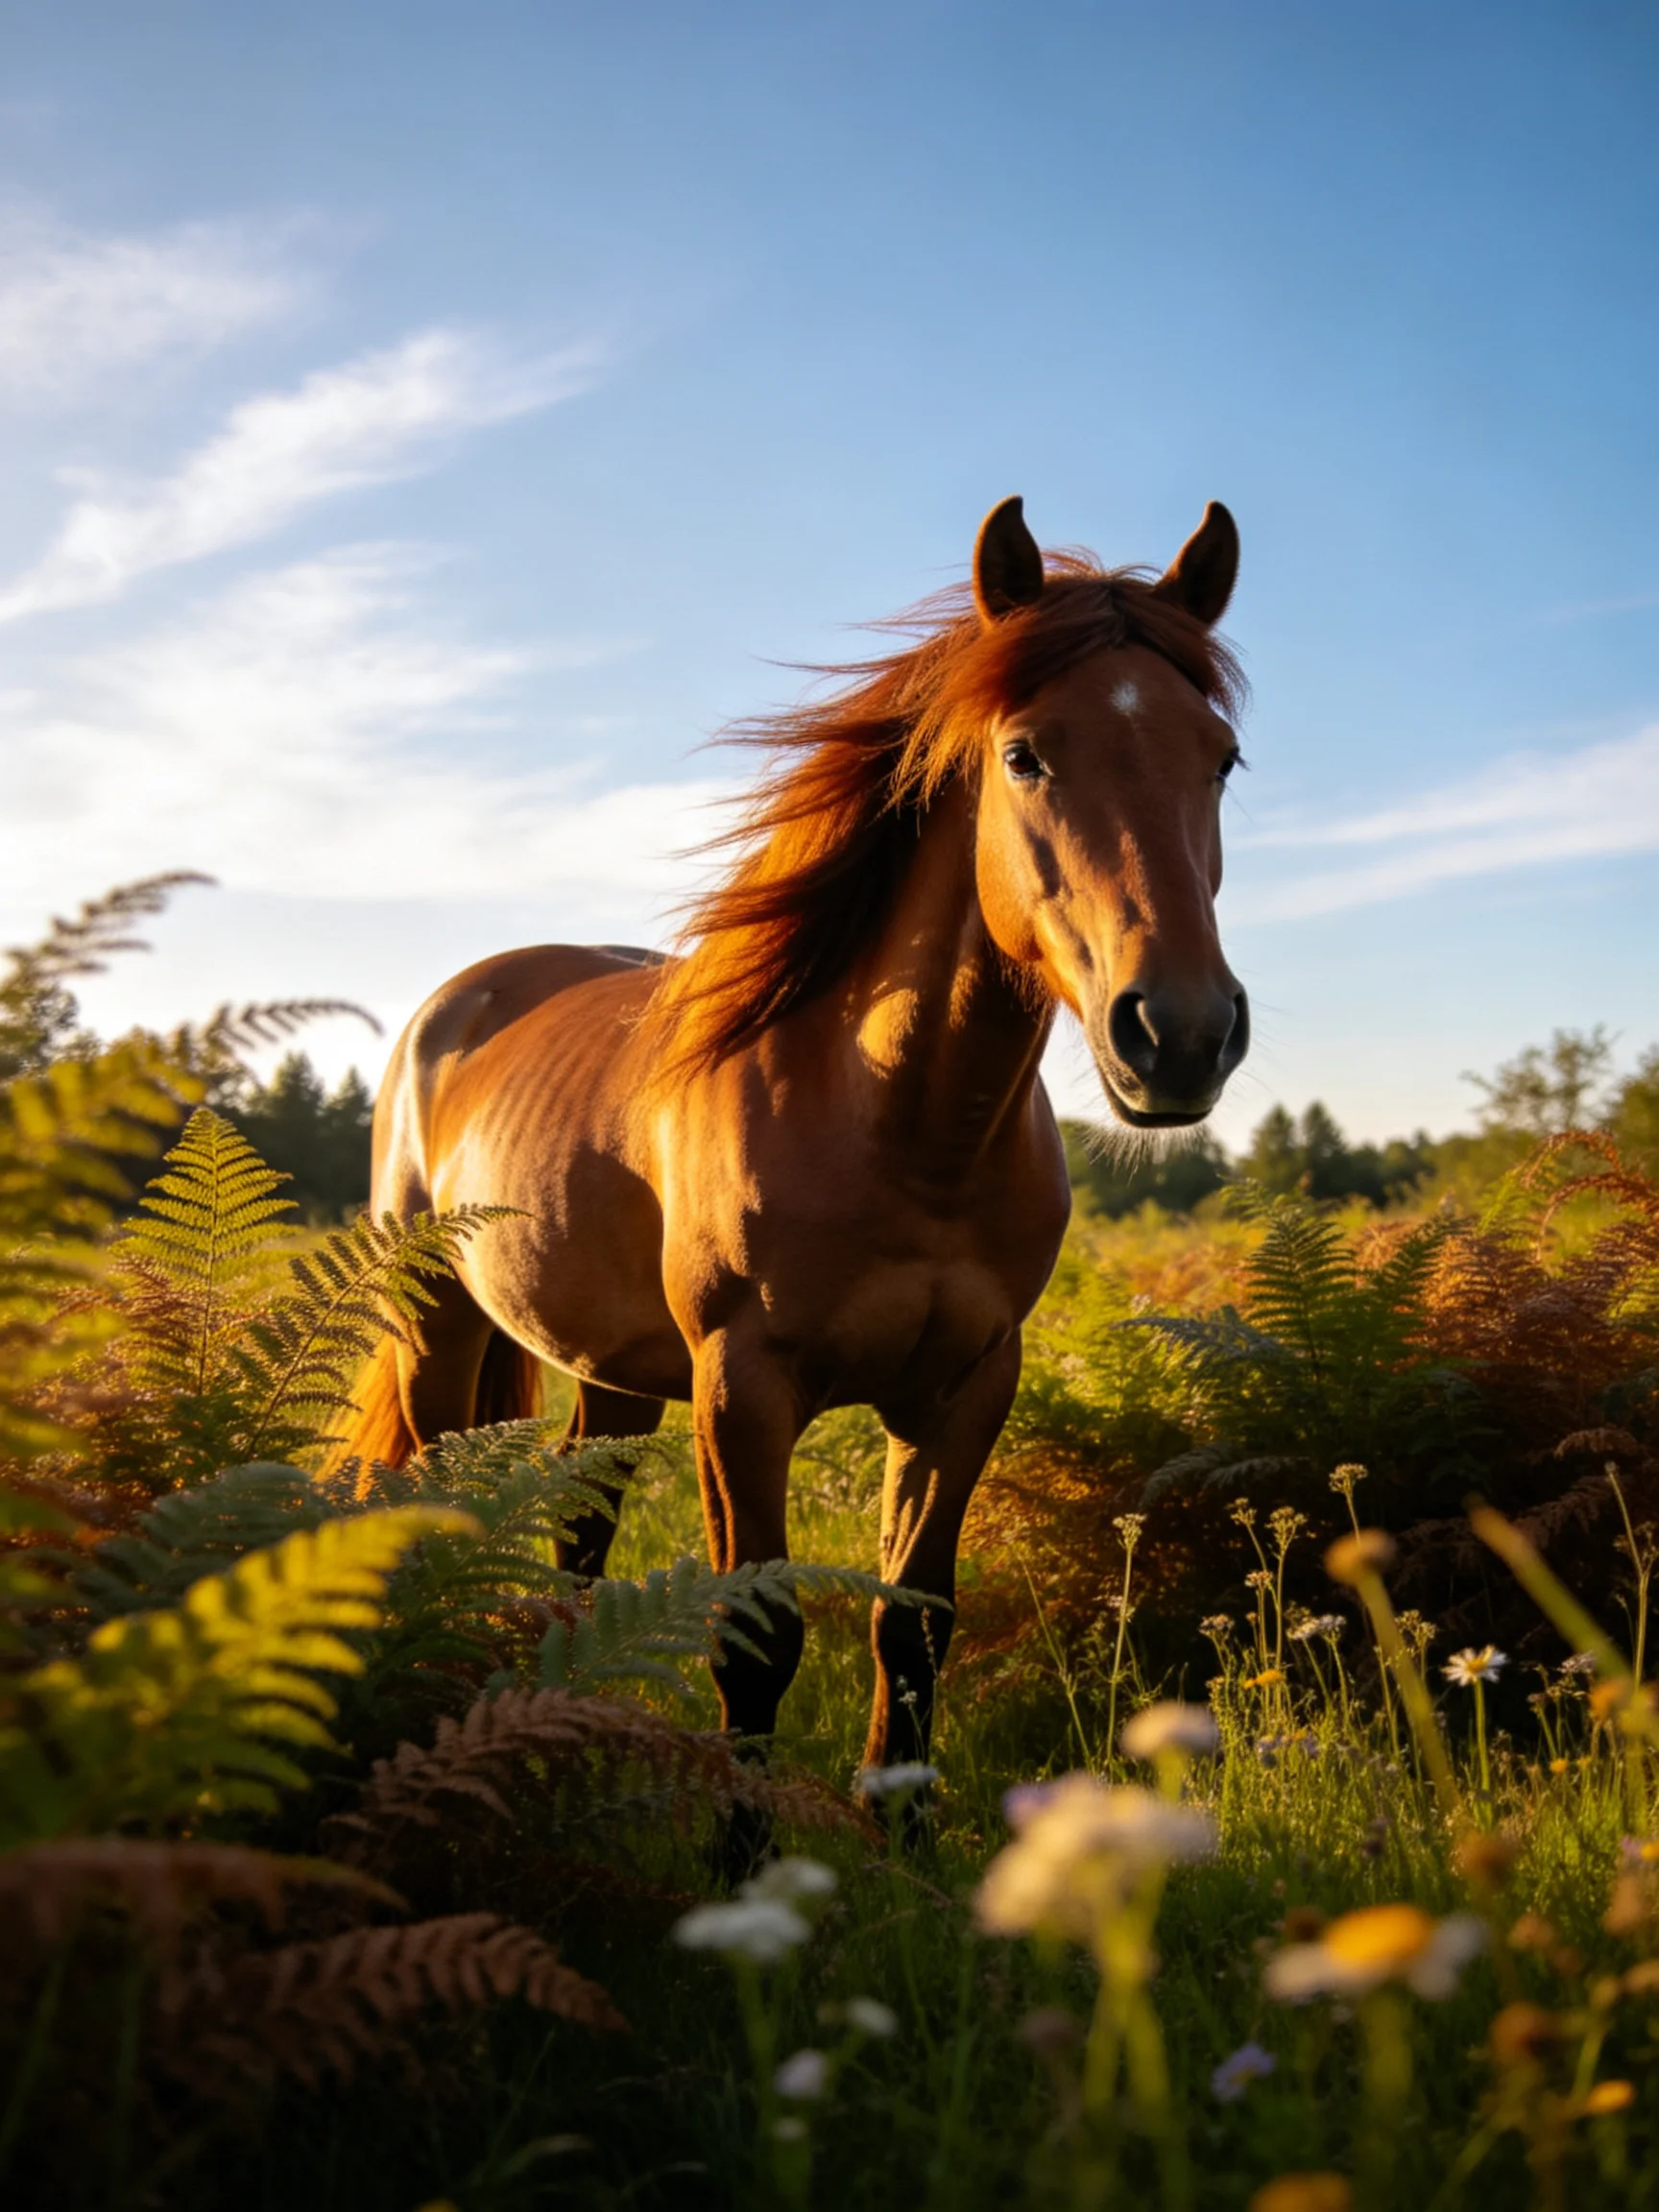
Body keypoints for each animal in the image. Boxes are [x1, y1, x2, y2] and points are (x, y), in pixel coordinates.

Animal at [339, 495, 1251, 1786]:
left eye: (1219, 758)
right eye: (1025, 754)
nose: (1178, 1034)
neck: (898, 1125)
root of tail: (453, 1008)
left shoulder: (966, 1389)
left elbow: (913, 1630)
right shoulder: (744, 1393)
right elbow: (754, 1644)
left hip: (607, 1376)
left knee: (577, 1543)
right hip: (439, 1335)